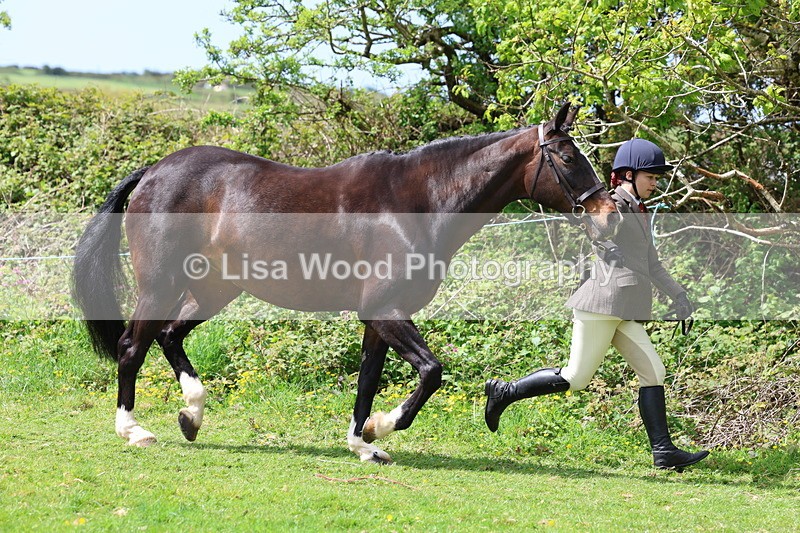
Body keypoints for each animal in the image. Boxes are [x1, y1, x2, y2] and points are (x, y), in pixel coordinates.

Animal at [72, 102, 620, 463]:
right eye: (567, 158)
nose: (609, 215)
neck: (418, 202)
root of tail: (153, 171)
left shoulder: (380, 318)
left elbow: (368, 378)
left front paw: (363, 443)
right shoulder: (384, 311)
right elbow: (431, 372)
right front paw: (381, 429)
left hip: (213, 289)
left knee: (169, 336)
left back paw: (192, 415)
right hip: (160, 284)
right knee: (131, 347)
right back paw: (135, 430)